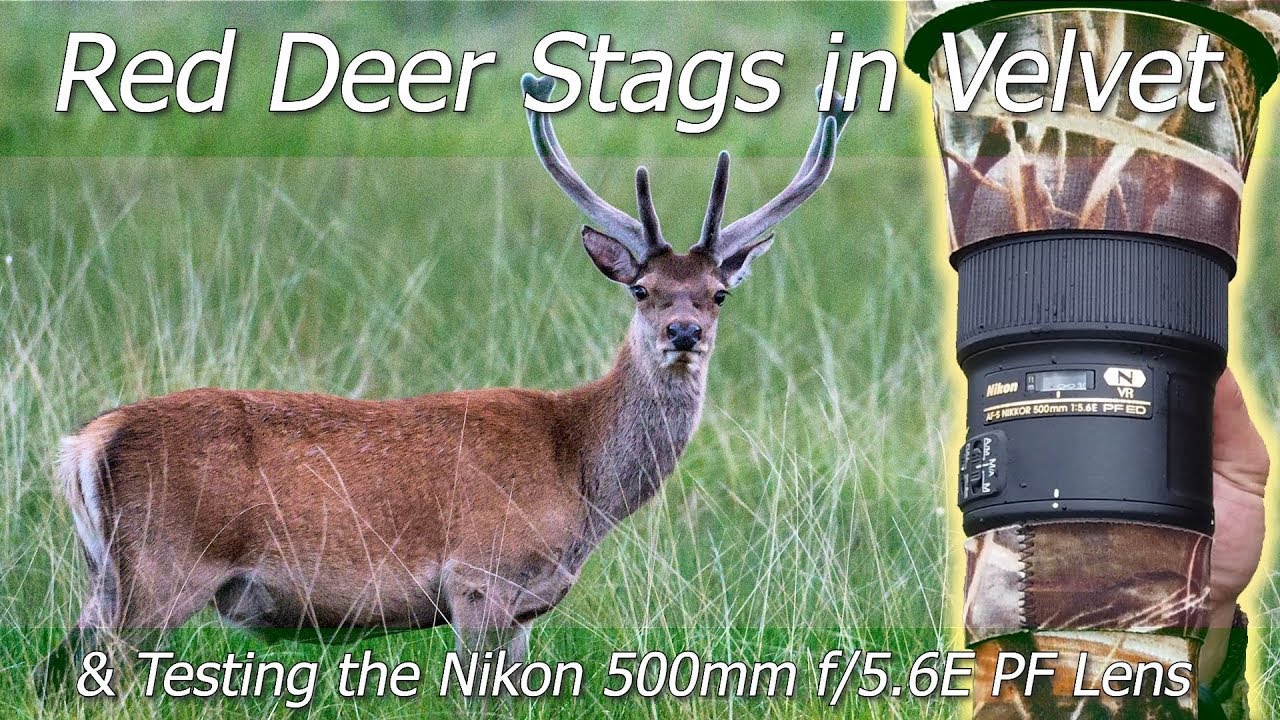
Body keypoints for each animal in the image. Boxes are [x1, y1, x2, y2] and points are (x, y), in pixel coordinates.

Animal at [39, 74, 850, 690]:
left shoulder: (524, 608)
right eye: (643, 288)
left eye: (719, 293)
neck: (581, 475)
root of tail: (87, 443)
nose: (683, 334)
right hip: (161, 567)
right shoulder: (480, 576)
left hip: (106, 574)